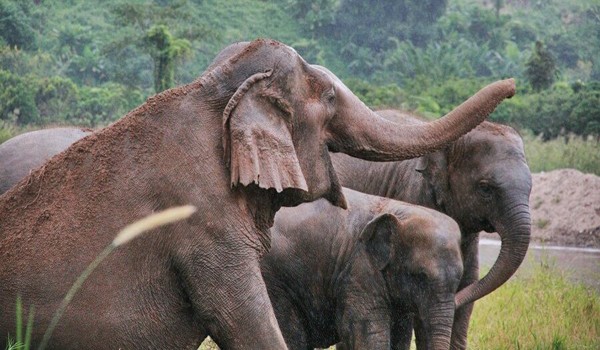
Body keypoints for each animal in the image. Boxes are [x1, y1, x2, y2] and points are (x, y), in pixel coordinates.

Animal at [262, 189, 464, 350]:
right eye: (420, 276)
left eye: (459, 280)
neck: (397, 211)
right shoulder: (359, 271)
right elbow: (369, 334)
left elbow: (400, 335)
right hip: (275, 283)